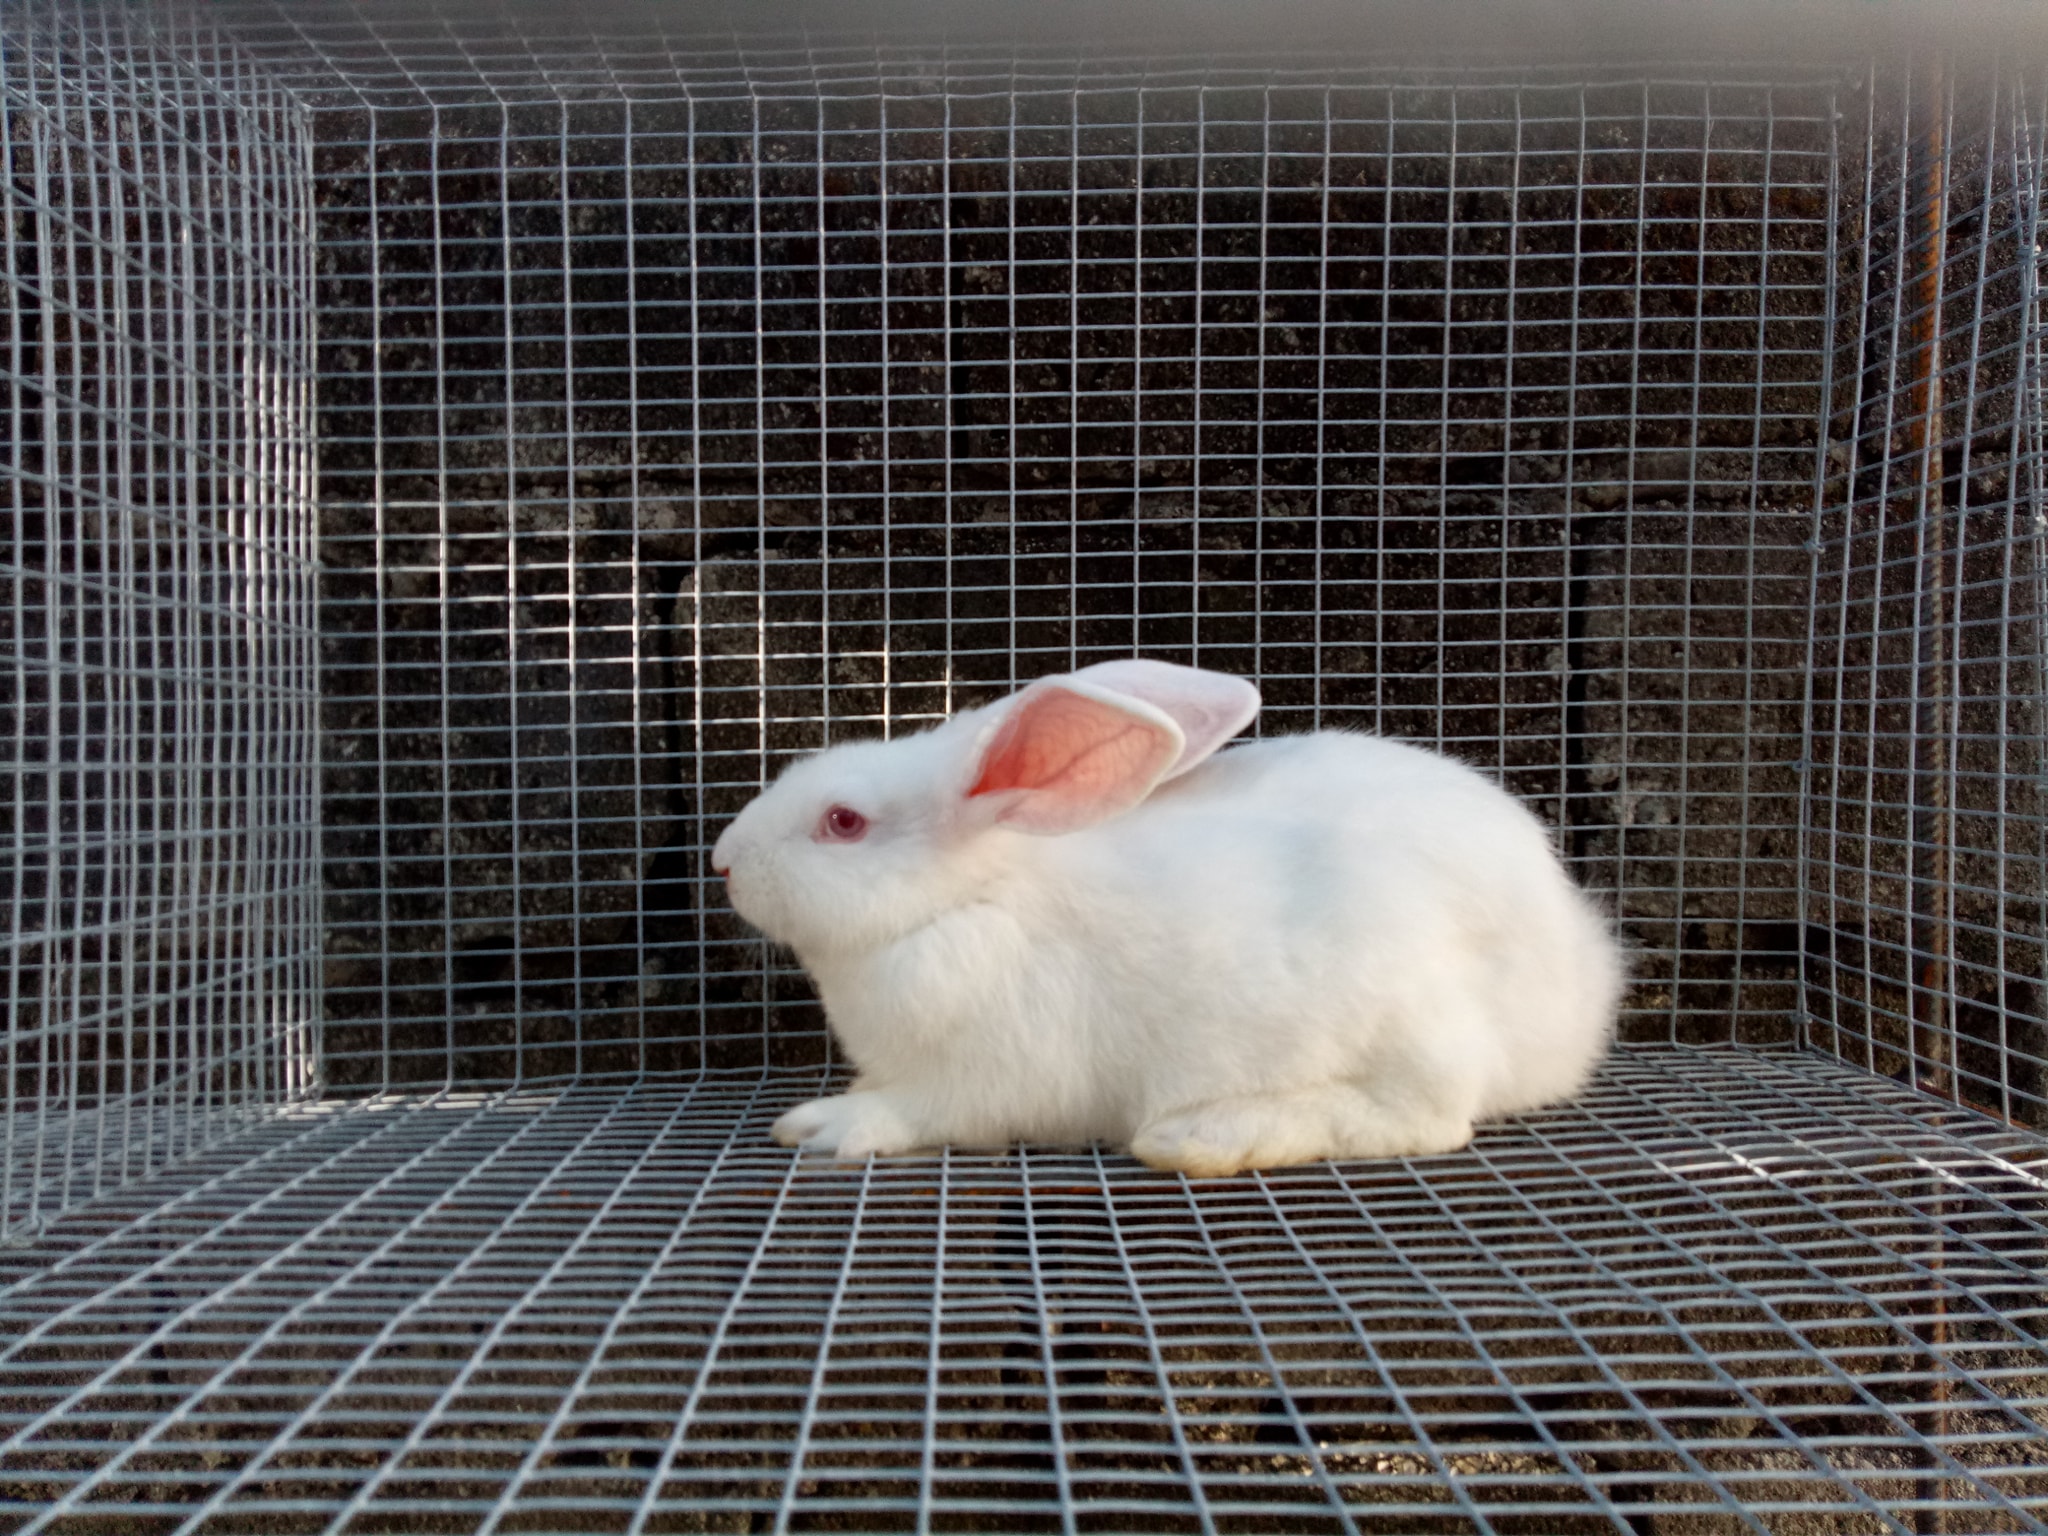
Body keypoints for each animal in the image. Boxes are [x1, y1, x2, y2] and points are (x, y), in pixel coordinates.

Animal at [710, 659, 1623, 1176]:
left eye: (843, 822)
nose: (720, 859)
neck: (969, 898)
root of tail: (1577, 986)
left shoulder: (981, 1082)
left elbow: (919, 1113)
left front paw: (827, 1123)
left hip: (1405, 1016)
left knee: (1432, 1119)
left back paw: (1207, 1138)